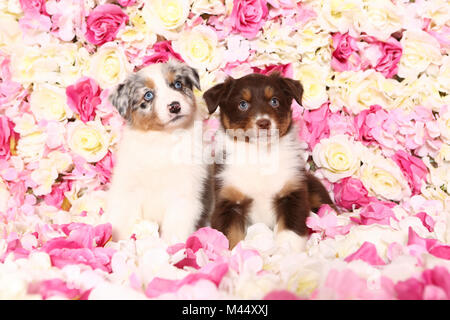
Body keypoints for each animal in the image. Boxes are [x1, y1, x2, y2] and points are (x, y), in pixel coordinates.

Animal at [103, 60, 213, 242]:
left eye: (178, 84)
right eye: (148, 95)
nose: (175, 106)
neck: (163, 140)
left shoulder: (184, 195)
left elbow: (176, 230)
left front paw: (173, 248)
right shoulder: (128, 190)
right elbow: (122, 221)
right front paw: (118, 245)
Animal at [204, 72, 334, 250]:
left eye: (274, 101)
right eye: (242, 104)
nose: (264, 122)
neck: (261, 154)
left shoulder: (292, 193)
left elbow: (290, 232)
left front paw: (286, 252)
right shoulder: (229, 201)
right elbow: (229, 237)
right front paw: (231, 254)